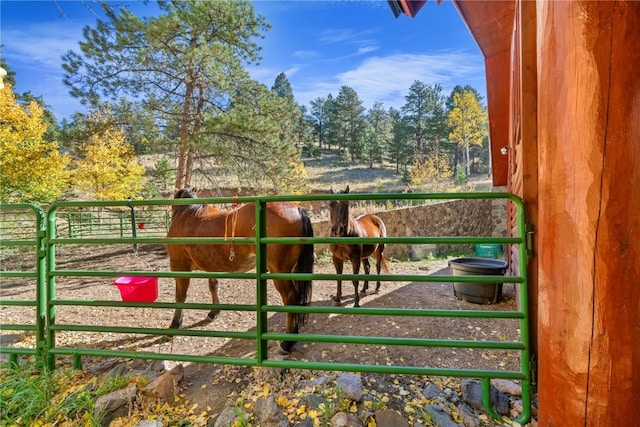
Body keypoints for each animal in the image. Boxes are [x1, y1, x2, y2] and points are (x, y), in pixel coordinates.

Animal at [165, 188, 316, 354]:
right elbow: (213, 286)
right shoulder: (210, 266)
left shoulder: (179, 265)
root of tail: (297, 209)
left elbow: (180, 296)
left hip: (280, 272)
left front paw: (175, 324)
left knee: (290, 298)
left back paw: (287, 343)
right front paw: (213, 313)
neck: (186, 213)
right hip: (293, 270)